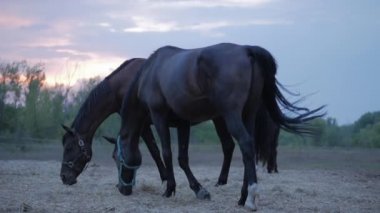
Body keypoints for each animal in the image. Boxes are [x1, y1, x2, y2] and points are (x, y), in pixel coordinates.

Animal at [116, 42, 324, 210]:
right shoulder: (183, 123)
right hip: (248, 114)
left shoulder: (159, 117)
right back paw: (242, 197)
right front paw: (199, 190)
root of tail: (247, 50)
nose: (122, 189)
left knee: (245, 143)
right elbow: (183, 158)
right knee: (249, 147)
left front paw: (170, 189)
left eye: (116, 158)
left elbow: (167, 152)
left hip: (232, 116)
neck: (151, 71)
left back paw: (250, 198)